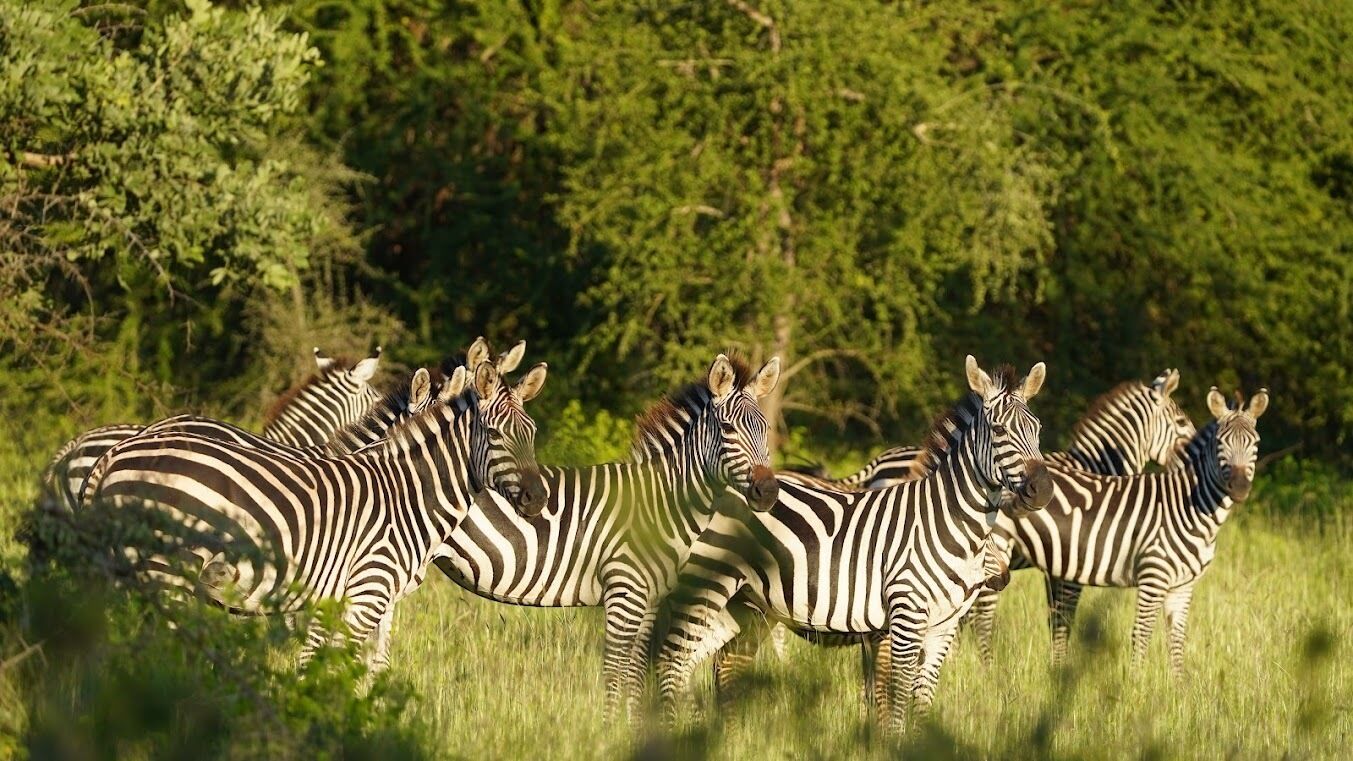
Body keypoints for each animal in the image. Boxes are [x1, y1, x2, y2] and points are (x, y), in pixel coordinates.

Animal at [79, 359, 548, 673]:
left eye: (532, 434)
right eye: (494, 434)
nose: (538, 498)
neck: (406, 490)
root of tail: (118, 451)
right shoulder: (365, 591)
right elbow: (329, 667)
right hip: (163, 570)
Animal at [431, 353, 781, 724]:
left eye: (766, 430)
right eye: (728, 430)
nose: (768, 492)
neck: (661, 504)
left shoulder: (648, 600)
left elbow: (636, 668)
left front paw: (631, 726)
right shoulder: (623, 592)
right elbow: (615, 668)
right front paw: (610, 728)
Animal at [654, 356, 1052, 735]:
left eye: (1037, 429)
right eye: (999, 430)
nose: (1043, 489)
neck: (945, 523)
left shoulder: (942, 627)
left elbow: (921, 697)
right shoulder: (904, 620)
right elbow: (895, 697)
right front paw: (892, 745)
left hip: (742, 606)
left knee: (704, 664)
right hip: (706, 589)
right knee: (671, 661)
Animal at [985, 386, 1268, 676]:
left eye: (1256, 443)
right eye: (1221, 443)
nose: (1239, 487)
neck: (1189, 505)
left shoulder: (1183, 585)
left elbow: (1177, 639)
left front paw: (1179, 685)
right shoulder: (1148, 577)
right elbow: (1137, 634)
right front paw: (1135, 683)